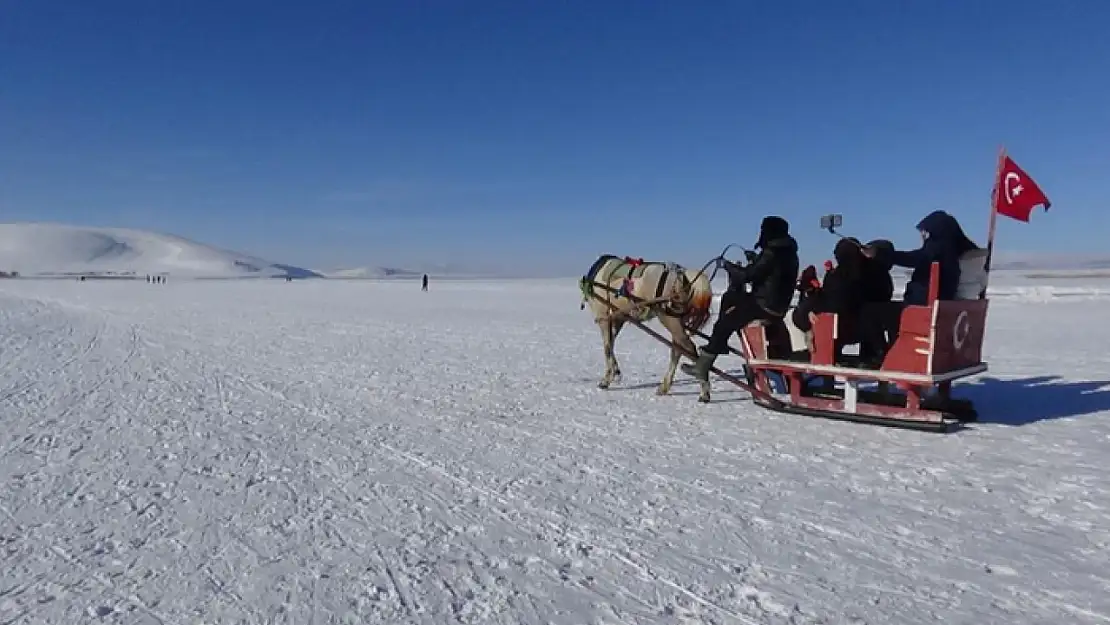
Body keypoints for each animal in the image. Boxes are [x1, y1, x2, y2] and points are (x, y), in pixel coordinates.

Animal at [581, 255, 710, 395]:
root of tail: (682, 275)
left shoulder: (603, 317)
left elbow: (607, 348)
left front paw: (606, 380)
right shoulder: (618, 318)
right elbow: (611, 344)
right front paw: (616, 372)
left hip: (668, 318)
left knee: (688, 348)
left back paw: (704, 391)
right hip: (675, 320)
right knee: (677, 350)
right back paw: (664, 386)